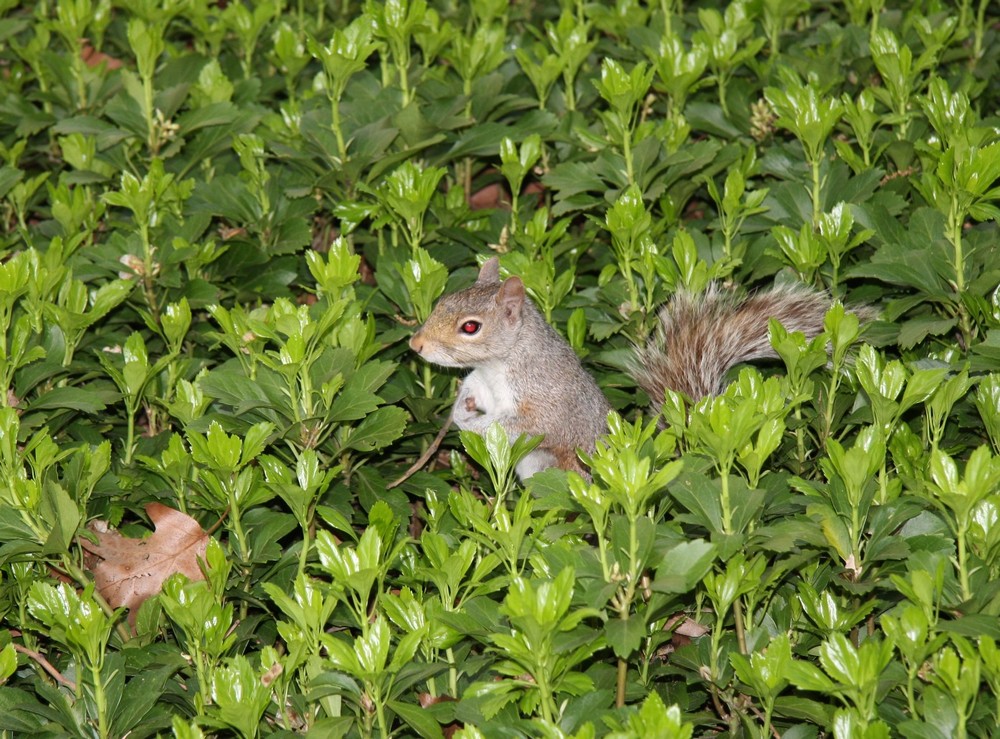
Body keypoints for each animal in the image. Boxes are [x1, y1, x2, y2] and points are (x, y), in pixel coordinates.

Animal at [408, 258, 860, 480]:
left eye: (471, 327)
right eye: (443, 299)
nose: (416, 344)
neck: (496, 368)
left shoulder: (547, 404)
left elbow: (521, 426)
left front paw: (475, 425)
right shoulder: (482, 383)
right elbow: (472, 396)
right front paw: (461, 409)